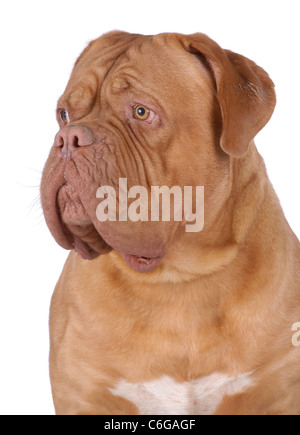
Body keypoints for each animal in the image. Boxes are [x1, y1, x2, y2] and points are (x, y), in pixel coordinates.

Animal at [40, 31, 300, 416]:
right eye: (64, 114)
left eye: (141, 112)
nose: (68, 139)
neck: (176, 279)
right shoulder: (84, 394)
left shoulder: (276, 393)